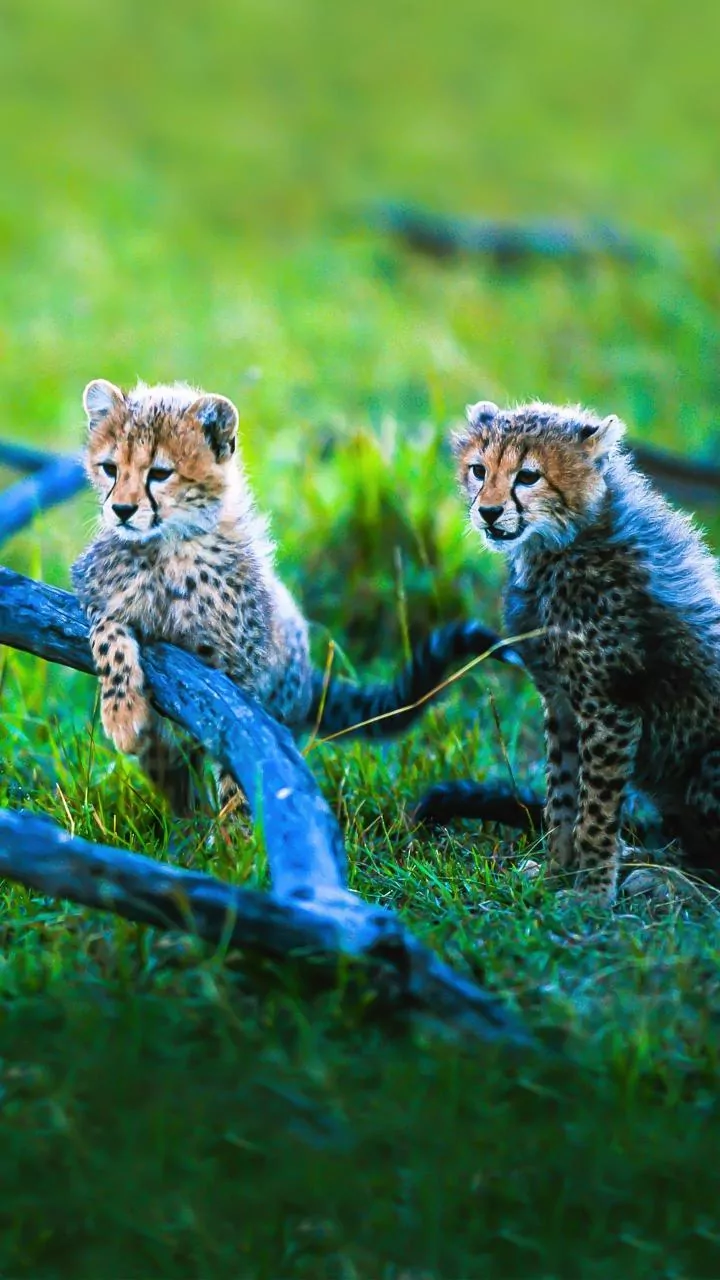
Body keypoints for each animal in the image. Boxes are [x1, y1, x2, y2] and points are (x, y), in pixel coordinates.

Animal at [71, 377, 519, 822]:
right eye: (110, 468)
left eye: (160, 473)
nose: (121, 510)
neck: (168, 549)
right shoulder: (92, 594)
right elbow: (109, 636)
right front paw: (123, 716)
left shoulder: (238, 673)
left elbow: (237, 744)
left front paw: (238, 832)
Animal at [446, 397, 720, 904]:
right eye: (479, 470)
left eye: (528, 476)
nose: (489, 513)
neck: (561, 544)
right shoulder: (560, 702)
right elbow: (562, 797)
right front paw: (555, 872)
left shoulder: (609, 708)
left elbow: (595, 809)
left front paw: (590, 892)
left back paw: (667, 881)